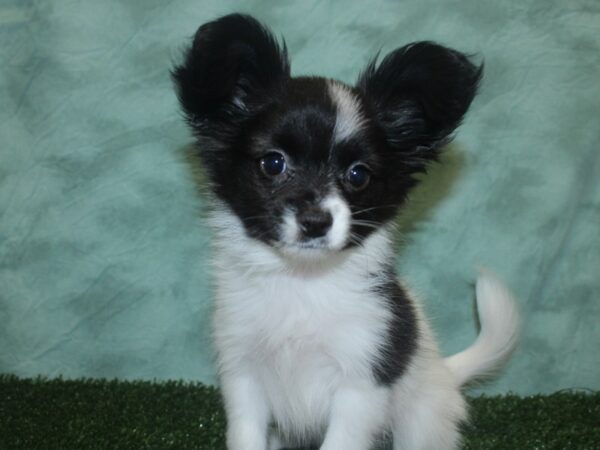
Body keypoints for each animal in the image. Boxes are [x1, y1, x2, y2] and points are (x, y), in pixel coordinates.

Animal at [171, 14, 516, 450]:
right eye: (273, 163)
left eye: (358, 175)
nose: (316, 221)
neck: (301, 283)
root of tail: (446, 371)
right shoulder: (243, 371)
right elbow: (246, 436)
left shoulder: (362, 380)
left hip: (421, 421)